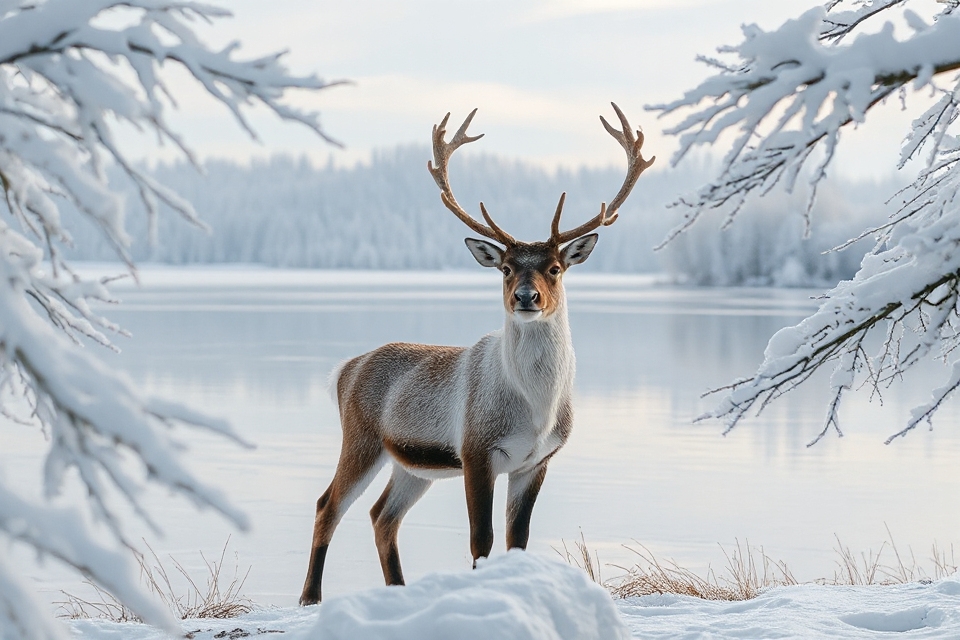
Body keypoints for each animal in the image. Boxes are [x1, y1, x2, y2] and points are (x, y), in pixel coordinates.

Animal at [299, 103, 654, 606]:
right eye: (505, 268)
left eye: (555, 268)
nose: (526, 297)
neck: (537, 408)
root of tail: (344, 370)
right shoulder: (477, 449)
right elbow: (480, 539)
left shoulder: (536, 460)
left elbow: (517, 539)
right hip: (362, 437)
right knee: (328, 504)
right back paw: (310, 596)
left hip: (413, 465)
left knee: (382, 515)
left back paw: (399, 589)